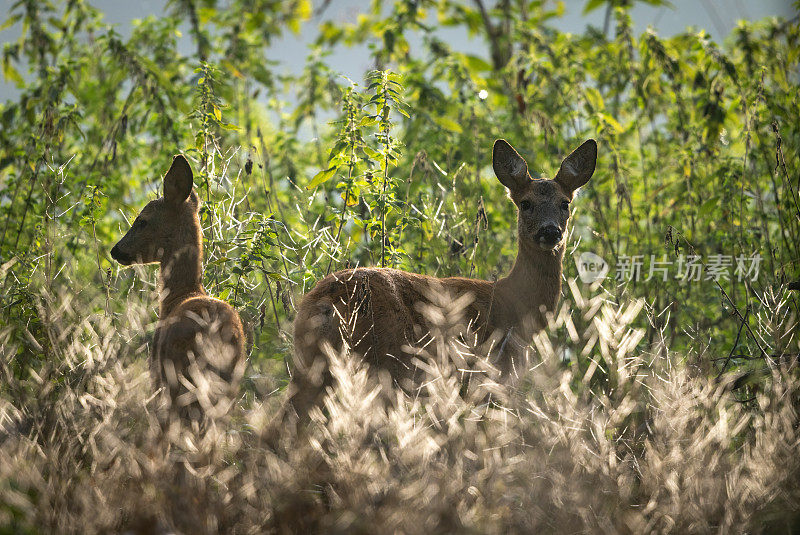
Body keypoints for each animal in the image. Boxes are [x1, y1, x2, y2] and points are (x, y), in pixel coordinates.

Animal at [109, 155, 245, 422]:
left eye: (142, 220)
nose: (115, 250)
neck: (181, 293)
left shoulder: (156, 373)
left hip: (177, 378)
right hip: (228, 386)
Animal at [284, 139, 596, 422]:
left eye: (565, 203)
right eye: (525, 203)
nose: (550, 231)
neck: (513, 303)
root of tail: (323, 302)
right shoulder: (489, 373)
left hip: (314, 366)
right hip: (384, 363)